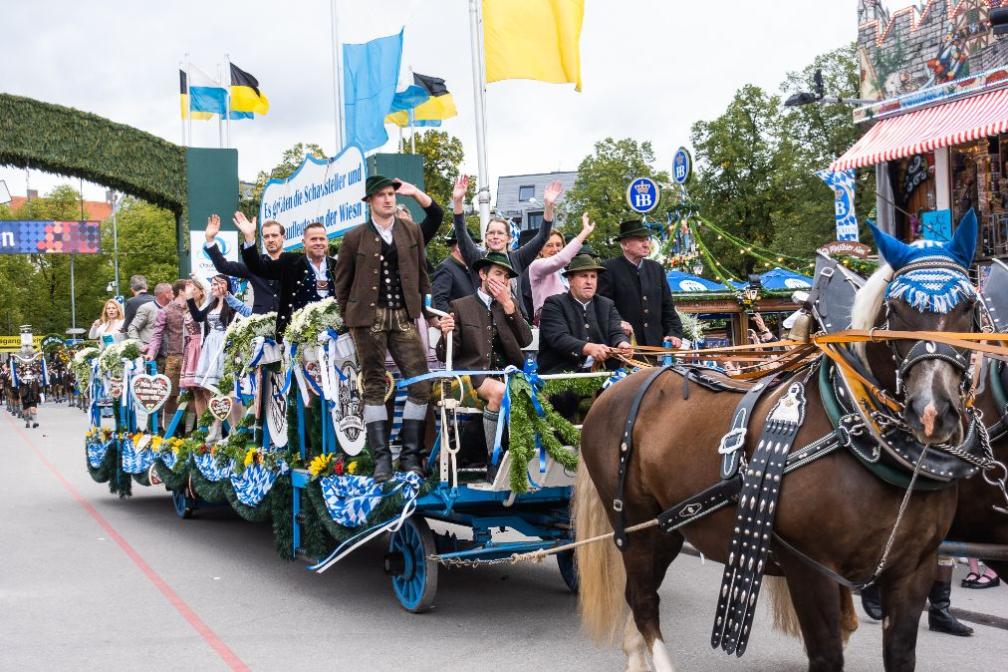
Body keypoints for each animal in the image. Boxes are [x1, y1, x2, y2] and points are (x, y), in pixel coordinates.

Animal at [580, 257, 979, 668]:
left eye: (969, 307)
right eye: (896, 309)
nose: (933, 412)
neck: (859, 435)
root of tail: (617, 385)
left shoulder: (913, 568)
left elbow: (895, 652)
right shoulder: (810, 568)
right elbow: (826, 654)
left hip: (669, 526)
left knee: (637, 593)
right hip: (637, 524)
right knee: (642, 598)